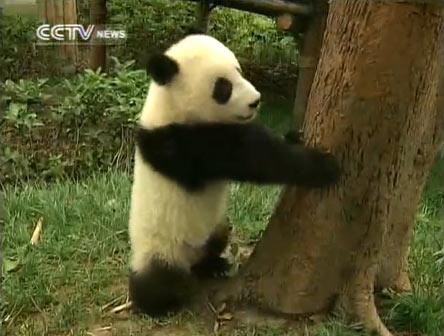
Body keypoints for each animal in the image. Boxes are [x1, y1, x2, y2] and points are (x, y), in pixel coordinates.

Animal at [127, 32, 340, 316]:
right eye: (223, 87)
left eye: (239, 70)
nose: (255, 100)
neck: (169, 104)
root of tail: (189, 259)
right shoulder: (183, 144)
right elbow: (253, 157)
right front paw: (323, 165)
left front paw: (296, 136)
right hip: (161, 246)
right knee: (157, 280)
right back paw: (159, 302)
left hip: (211, 228)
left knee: (218, 237)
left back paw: (214, 265)